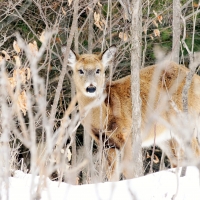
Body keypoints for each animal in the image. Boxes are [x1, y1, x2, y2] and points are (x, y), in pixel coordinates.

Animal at [64, 46, 200, 182]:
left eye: (98, 70)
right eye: (80, 70)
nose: (91, 88)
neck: (104, 116)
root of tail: (195, 77)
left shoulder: (128, 134)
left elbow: (128, 169)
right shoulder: (106, 143)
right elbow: (112, 174)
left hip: (183, 120)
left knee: (195, 152)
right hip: (165, 135)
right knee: (177, 160)